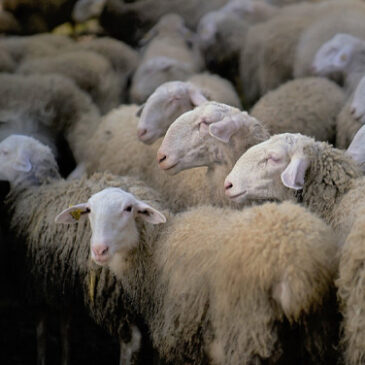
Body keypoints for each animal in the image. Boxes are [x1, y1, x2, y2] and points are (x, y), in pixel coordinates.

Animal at [0, 135, 159, 364]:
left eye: (4, 152)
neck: (33, 189)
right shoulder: (60, 280)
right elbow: (65, 327)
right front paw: (66, 357)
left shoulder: (36, 282)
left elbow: (40, 330)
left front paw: (41, 358)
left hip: (108, 291)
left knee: (131, 340)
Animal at [57, 185, 338, 364]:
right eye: (89, 211)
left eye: (128, 208)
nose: (99, 250)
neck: (155, 249)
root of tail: (295, 265)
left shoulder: (182, 337)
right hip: (316, 336)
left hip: (247, 333)